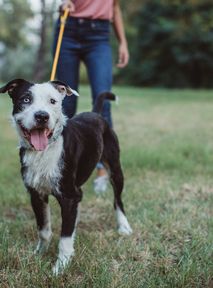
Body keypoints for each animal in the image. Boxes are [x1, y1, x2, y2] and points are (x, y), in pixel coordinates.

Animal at [0, 79, 132, 274]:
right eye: (25, 99)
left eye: (53, 101)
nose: (42, 116)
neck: (45, 151)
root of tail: (95, 113)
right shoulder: (36, 194)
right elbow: (44, 229)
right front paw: (39, 253)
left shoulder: (69, 197)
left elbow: (65, 238)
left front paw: (60, 267)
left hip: (115, 168)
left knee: (118, 200)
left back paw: (123, 226)